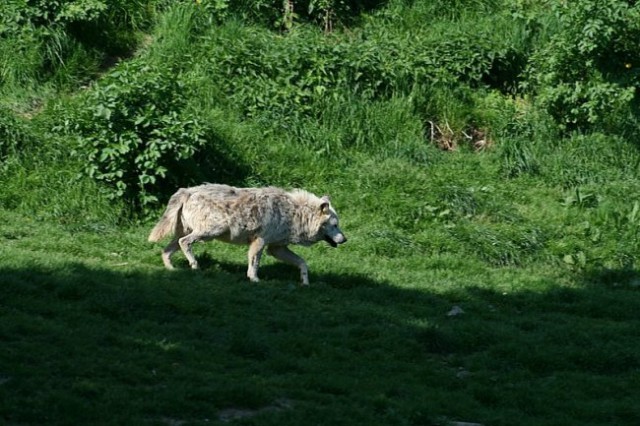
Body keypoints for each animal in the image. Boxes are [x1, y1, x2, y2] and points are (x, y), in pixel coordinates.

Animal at [148, 184, 348, 286]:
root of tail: (187, 191)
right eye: (335, 225)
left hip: (184, 235)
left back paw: (172, 270)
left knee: (166, 251)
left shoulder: (276, 249)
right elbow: (255, 264)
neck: (295, 213)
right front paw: (254, 280)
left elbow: (302, 263)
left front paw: (305, 282)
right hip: (210, 232)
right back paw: (194, 265)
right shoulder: (260, 242)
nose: (345, 239)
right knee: (185, 243)